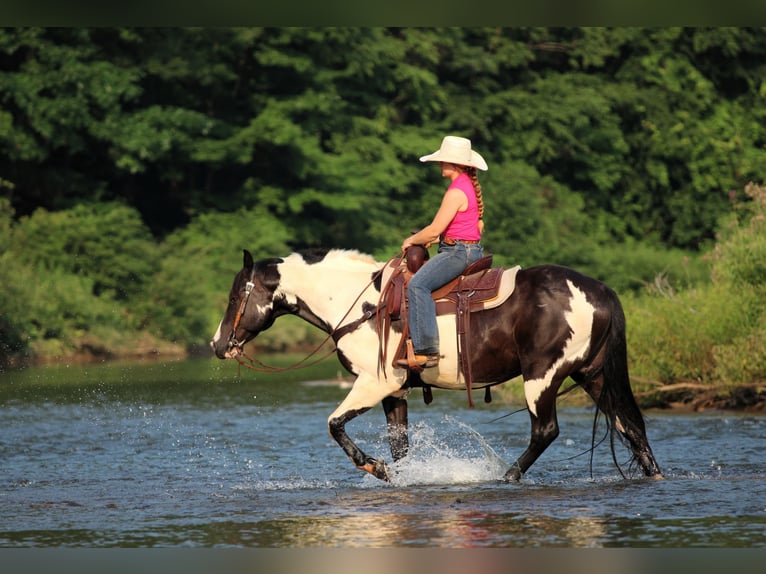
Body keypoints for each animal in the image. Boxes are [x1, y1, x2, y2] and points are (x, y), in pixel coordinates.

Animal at [210, 247, 662, 483]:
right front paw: (398, 475)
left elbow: (335, 425)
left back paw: (506, 477)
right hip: (593, 375)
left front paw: (375, 468)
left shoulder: (373, 383)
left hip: (543, 376)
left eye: (234, 297)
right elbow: (400, 445)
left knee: (546, 430)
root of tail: (599, 290)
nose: (217, 344)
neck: (363, 305)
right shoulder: (394, 390)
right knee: (630, 427)